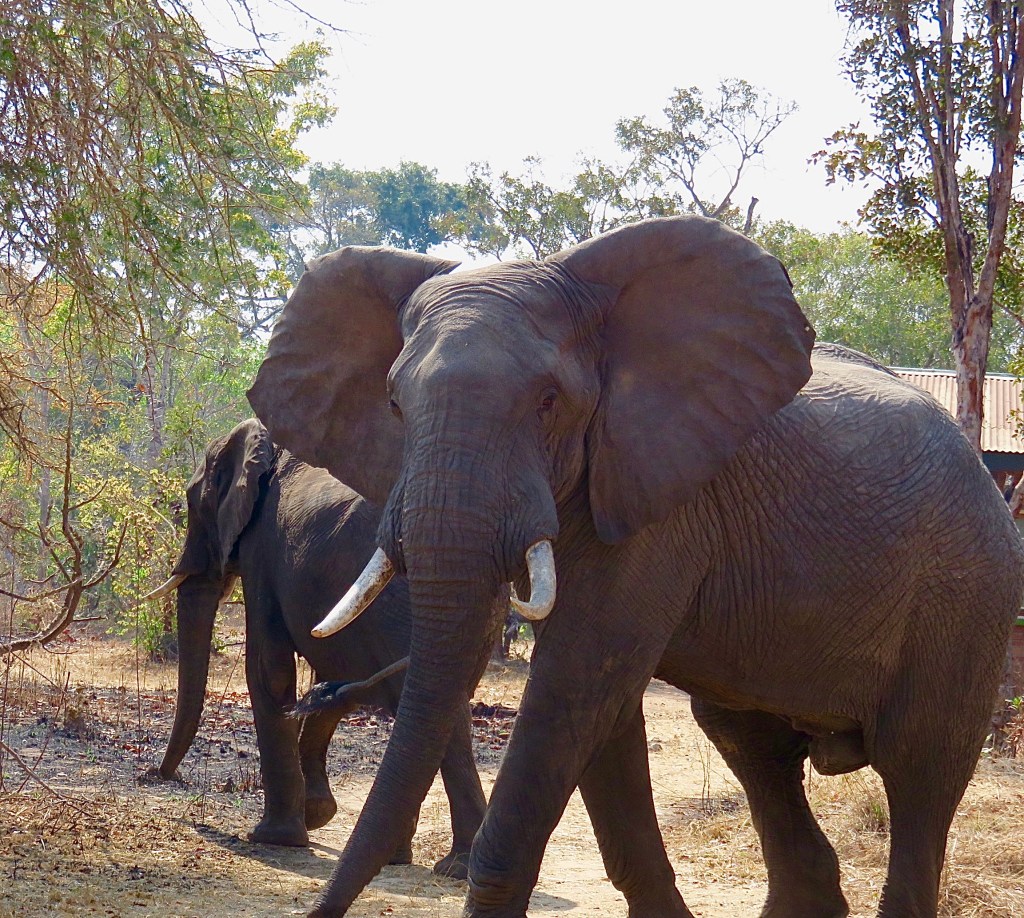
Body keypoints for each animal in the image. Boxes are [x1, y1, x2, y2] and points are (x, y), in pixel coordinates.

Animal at [150, 418, 486, 877]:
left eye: (192, 501)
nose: (162, 775)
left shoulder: (262, 547)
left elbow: (268, 667)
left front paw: (276, 838)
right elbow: (332, 681)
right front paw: (317, 815)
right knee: (441, 707)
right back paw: (444, 865)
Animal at [248, 215, 1024, 918]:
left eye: (549, 402)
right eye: (395, 405)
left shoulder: (659, 506)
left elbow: (578, 679)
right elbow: (604, 710)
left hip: (969, 588)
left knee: (920, 766)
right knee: (752, 745)